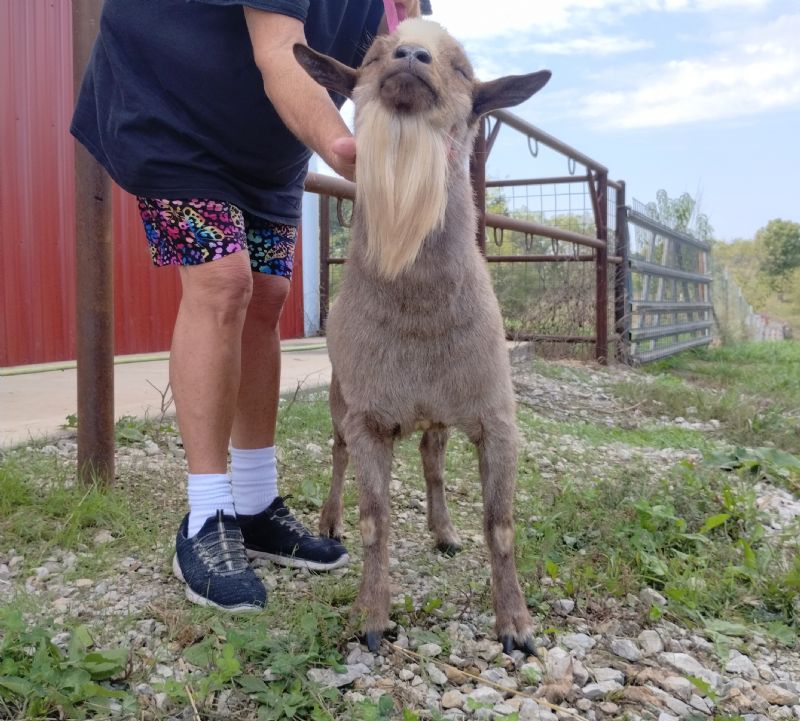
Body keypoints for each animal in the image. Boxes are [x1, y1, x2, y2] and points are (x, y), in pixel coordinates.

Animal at [294, 19, 550, 654]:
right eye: (373, 56)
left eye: (462, 68)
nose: (411, 56)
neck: (420, 322)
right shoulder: (368, 419)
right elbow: (375, 520)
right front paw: (372, 616)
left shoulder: (497, 417)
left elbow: (500, 526)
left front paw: (516, 626)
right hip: (340, 396)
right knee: (337, 454)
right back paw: (329, 522)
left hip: (439, 415)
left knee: (433, 464)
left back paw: (444, 531)